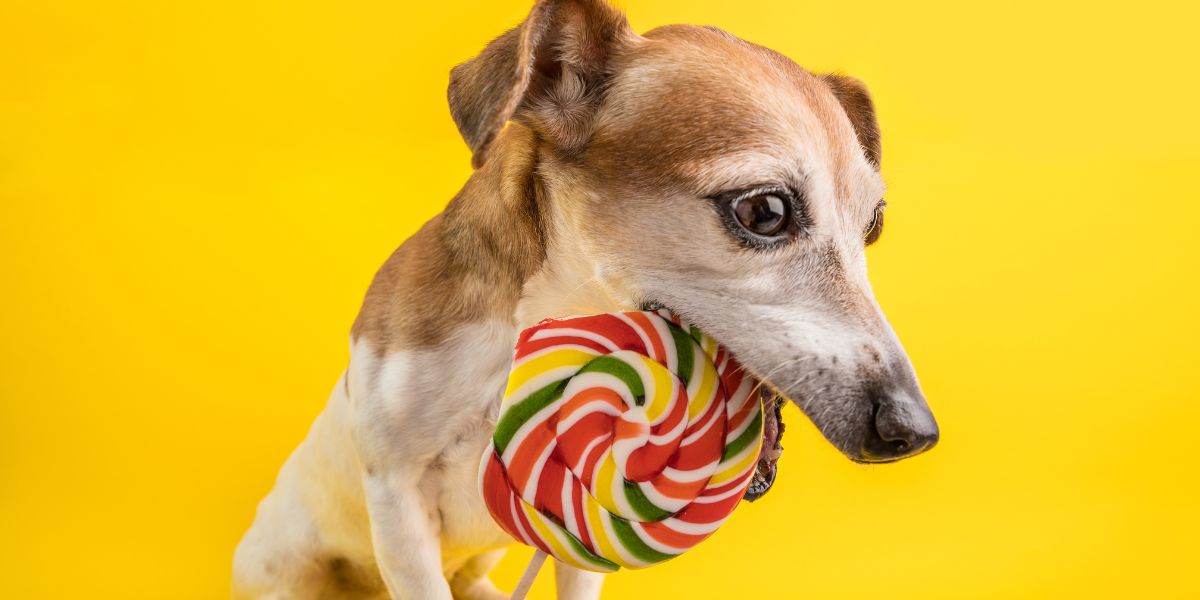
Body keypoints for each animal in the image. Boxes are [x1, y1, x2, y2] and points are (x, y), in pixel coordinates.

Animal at [231, 2, 936, 597]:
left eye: (872, 225)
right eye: (765, 211)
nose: (915, 432)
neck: (541, 322)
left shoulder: (585, 520)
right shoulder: (397, 500)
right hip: (280, 562)